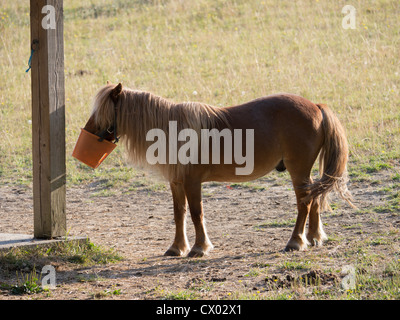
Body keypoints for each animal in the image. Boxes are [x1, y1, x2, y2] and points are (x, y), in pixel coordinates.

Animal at [82, 82, 354, 258]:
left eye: (102, 111)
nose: (87, 132)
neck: (172, 130)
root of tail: (316, 106)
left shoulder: (192, 182)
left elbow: (196, 214)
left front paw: (199, 248)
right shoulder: (176, 183)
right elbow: (179, 214)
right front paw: (177, 248)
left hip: (298, 171)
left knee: (304, 204)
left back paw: (296, 242)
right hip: (306, 173)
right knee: (315, 199)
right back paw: (315, 237)